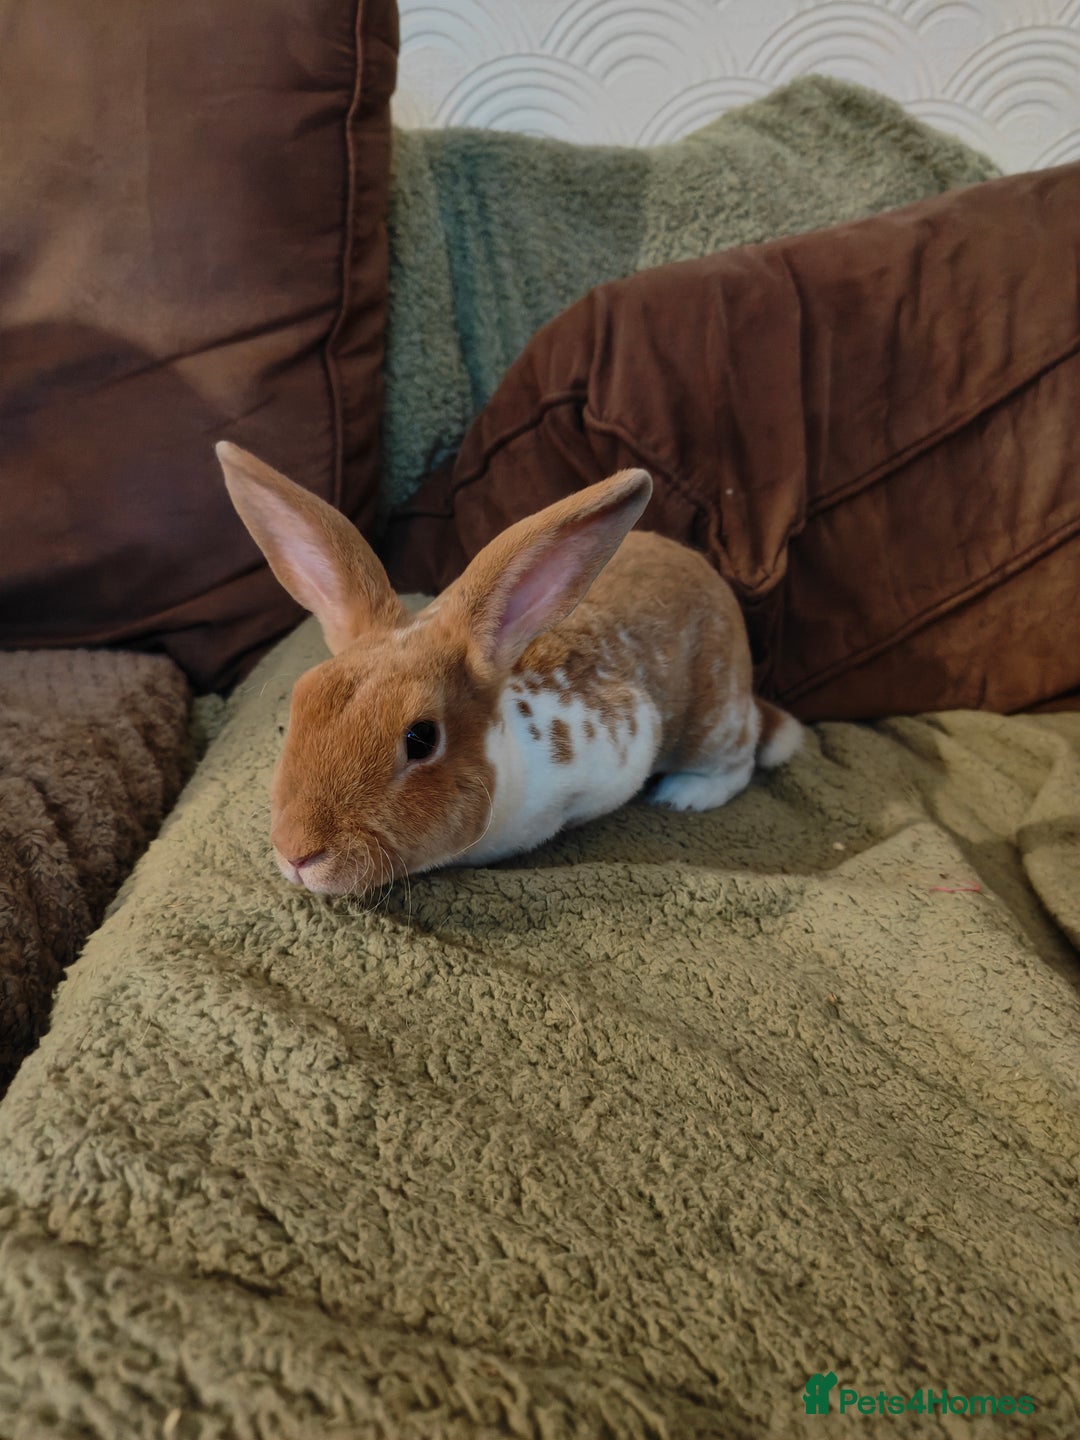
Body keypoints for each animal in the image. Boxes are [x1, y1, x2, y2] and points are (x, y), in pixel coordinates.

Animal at [216, 441, 801, 896]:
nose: (297, 853)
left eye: (421, 739)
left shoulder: (626, 738)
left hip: (712, 722)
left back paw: (685, 795)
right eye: (296, 709)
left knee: (741, 755)